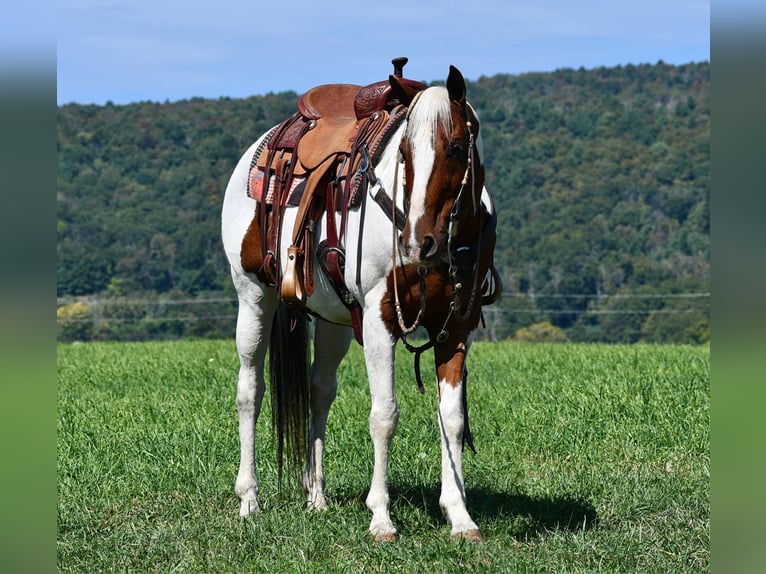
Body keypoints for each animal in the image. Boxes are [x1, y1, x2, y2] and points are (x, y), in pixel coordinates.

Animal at [219, 63, 500, 544]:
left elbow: (452, 419)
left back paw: (316, 497)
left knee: (319, 390)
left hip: (334, 320)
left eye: (456, 148)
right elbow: (384, 415)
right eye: (403, 152)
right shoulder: (379, 321)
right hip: (254, 297)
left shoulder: (456, 327)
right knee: (249, 393)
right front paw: (381, 518)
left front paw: (460, 517)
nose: (417, 243)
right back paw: (249, 501)